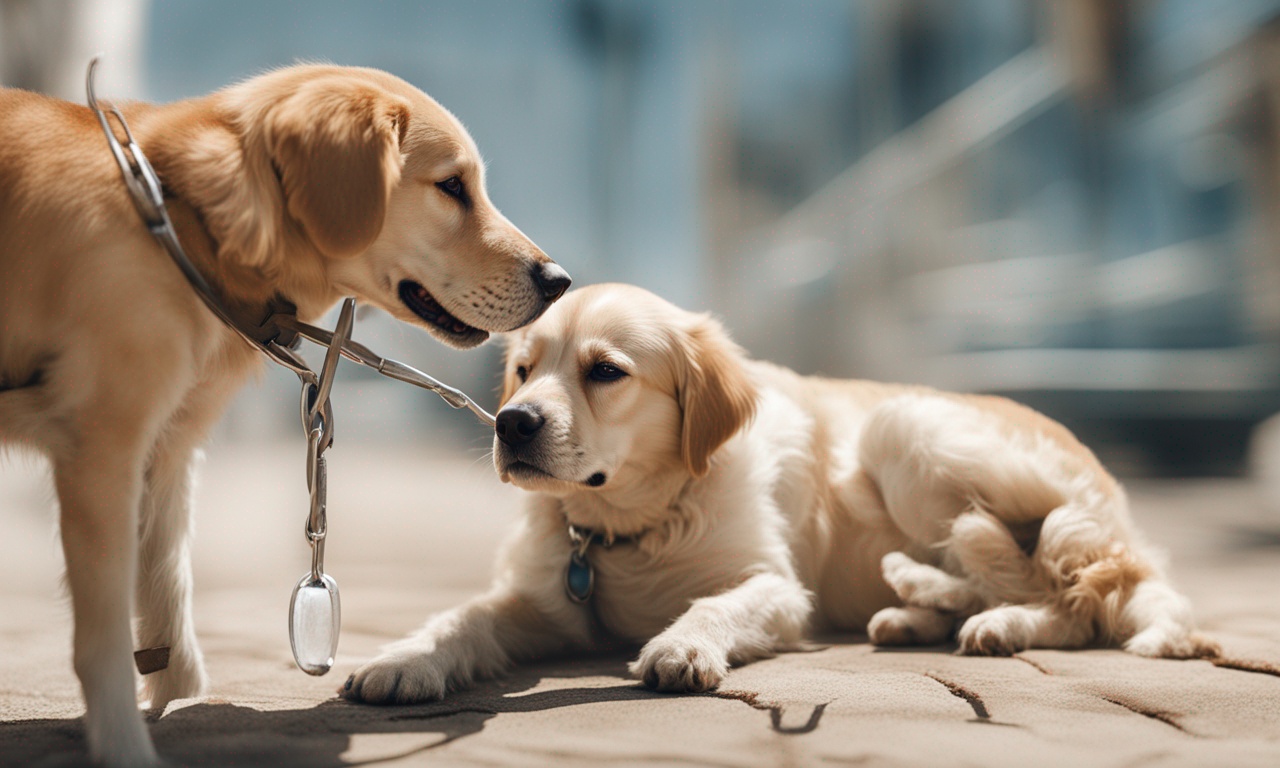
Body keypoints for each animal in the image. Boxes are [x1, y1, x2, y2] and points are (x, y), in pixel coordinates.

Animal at [0, 65, 570, 768]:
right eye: (451, 186)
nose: (560, 281)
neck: (182, 219)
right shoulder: (103, 444)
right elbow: (103, 635)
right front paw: (126, 744)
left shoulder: (167, 449)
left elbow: (167, 591)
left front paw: (170, 698)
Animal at [343, 282, 1218, 701]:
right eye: (524, 369)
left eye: (605, 371)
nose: (513, 423)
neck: (625, 529)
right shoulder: (537, 602)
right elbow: (461, 618)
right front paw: (405, 660)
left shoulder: (778, 587)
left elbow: (714, 604)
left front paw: (681, 646)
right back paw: (914, 608)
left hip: (906, 430)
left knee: (1074, 596)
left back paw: (996, 622)